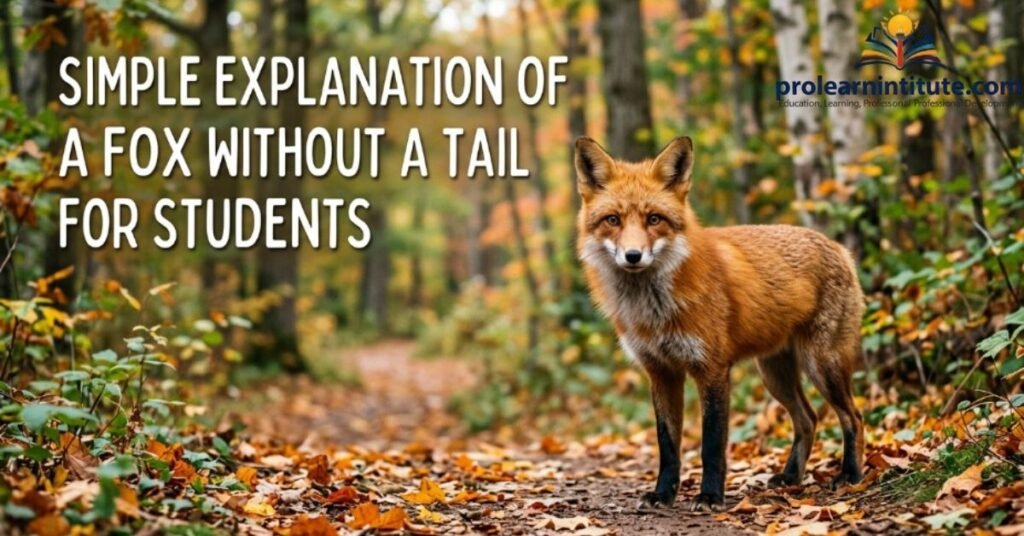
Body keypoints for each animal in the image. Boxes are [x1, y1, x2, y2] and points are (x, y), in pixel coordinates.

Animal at [574, 136, 865, 511]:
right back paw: (790, 477)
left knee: (853, 416)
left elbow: (711, 444)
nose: (633, 256)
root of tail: (839, 247)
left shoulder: (711, 368)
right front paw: (663, 494)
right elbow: (667, 445)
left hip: (822, 365)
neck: (654, 311)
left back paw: (851, 475)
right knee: (808, 418)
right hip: (774, 374)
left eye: (654, 219)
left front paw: (710, 495)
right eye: (613, 219)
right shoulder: (661, 372)